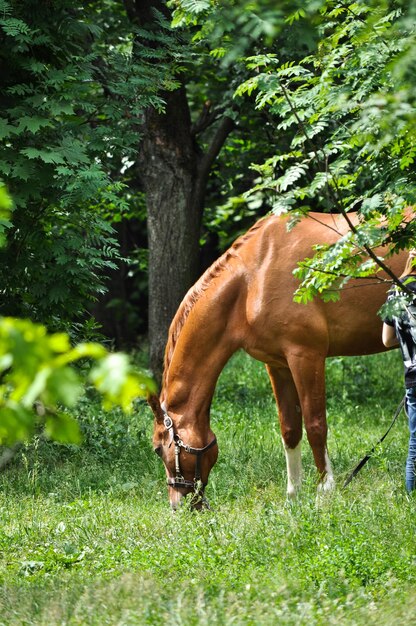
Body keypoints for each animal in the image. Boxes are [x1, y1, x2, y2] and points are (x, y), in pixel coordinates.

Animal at [149, 212, 406, 504]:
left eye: (158, 448)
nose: (177, 505)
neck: (252, 279)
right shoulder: (278, 365)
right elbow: (290, 429)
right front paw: (293, 496)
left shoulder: (306, 356)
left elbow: (316, 425)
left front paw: (324, 492)